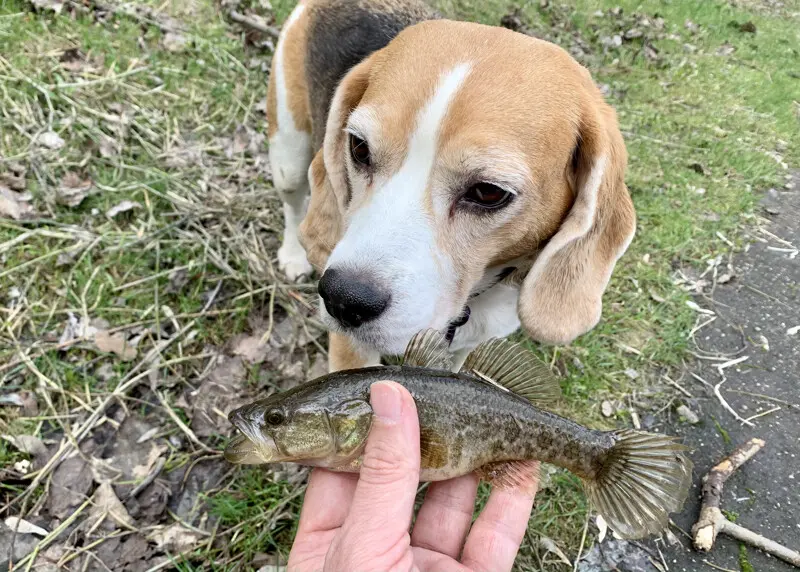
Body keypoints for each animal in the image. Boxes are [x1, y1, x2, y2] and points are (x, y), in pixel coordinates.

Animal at [268, 0, 636, 374]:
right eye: (359, 147)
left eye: (489, 192)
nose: (343, 298)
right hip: (288, 155)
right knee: (294, 205)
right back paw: (293, 256)